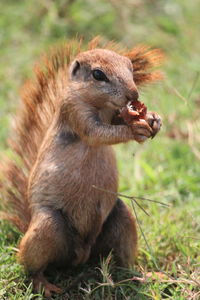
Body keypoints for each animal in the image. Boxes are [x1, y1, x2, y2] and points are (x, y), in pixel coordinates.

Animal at [0, 37, 163, 296]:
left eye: (129, 66)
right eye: (98, 74)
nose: (133, 94)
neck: (101, 105)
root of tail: (80, 256)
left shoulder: (113, 113)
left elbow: (117, 121)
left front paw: (152, 119)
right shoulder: (74, 113)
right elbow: (99, 133)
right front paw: (135, 129)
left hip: (120, 217)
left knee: (123, 261)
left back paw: (143, 275)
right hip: (48, 226)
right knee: (30, 265)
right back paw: (42, 284)